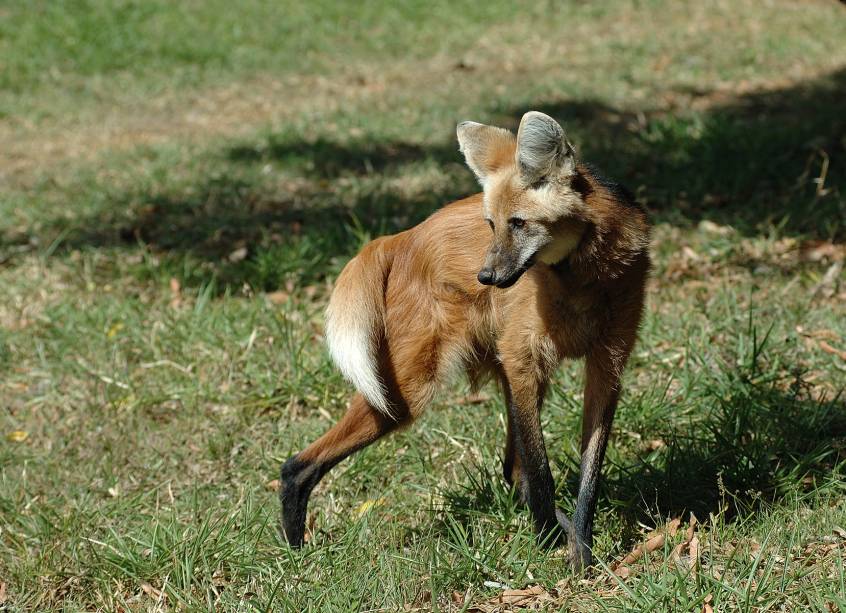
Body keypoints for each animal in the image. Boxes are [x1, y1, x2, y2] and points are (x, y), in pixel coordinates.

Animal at [282, 111, 652, 568]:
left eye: (519, 223)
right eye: (492, 225)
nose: (486, 277)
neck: (583, 277)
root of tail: (401, 236)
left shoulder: (607, 362)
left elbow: (588, 475)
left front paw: (580, 553)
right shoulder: (523, 361)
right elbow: (541, 472)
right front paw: (547, 548)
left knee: (512, 469)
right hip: (406, 391)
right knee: (297, 465)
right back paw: (295, 552)